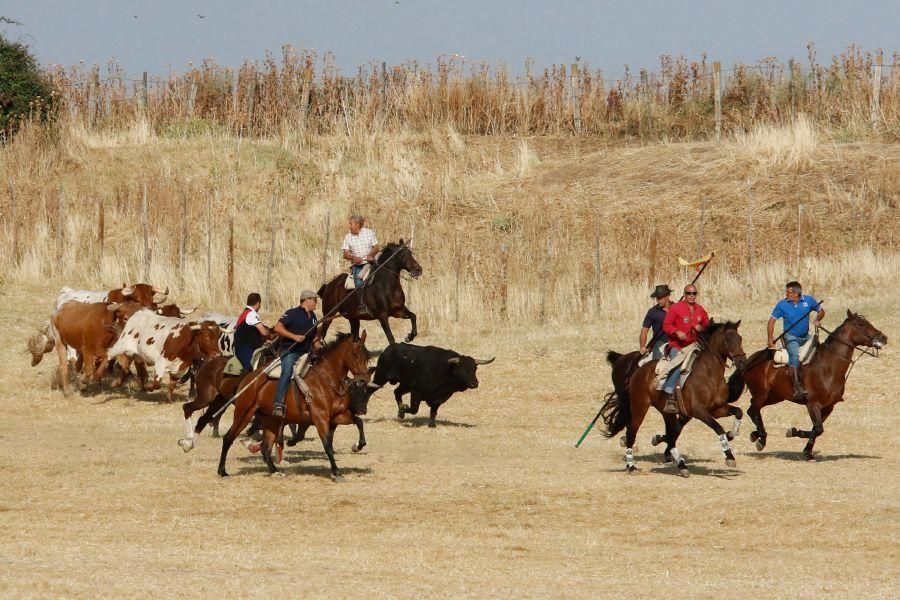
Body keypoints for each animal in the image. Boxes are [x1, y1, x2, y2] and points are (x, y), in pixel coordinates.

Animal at [217, 330, 380, 480]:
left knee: (265, 447)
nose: (364, 380)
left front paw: (358, 446)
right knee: (228, 438)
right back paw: (222, 471)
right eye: (354, 353)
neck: (327, 380)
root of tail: (248, 378)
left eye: (367, 356)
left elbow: (358, 422)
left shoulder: (338, 416)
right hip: (243, 413)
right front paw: (336, 472)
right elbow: (327, 444)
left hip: (271, 420)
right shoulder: (320, 418)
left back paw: (274, 471)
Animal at [372, 342, 500, 426]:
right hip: (380, 377)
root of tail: (389, 348)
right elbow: (413, 409)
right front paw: (403, 410)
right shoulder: (416, 391)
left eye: (475, 369)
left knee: (396, 392)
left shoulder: (440, 397)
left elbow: (434, 411)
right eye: (463, 369)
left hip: (405, 384)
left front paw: (432, 425)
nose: (475, 383)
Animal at [600, 322, 748, 476]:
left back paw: (681, 464)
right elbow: (718, 428)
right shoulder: (700, 411)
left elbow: (739, 412)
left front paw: (731, 434)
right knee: (632, 433)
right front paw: (729, 455)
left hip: (667, 412)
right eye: (727, 340)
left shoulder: (717, 409)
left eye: (740, 338)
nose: (742, 362)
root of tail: (638, 371)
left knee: (672, 434)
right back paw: (631, 466)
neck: (710, 375)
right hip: (639, 407)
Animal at [724, 310, 884, 460]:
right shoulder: (813, 404)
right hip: (761, 394)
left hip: (775, 396)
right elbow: (818, 429)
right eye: (861, 324)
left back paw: (755, 435)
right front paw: (793, 432)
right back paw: (761, 439)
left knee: (753, 410)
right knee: (752, 410)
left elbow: (817, 429)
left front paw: (807, 451)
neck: (829, 367)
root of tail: (748, 361)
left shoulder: (829, 406)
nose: (883, 338)